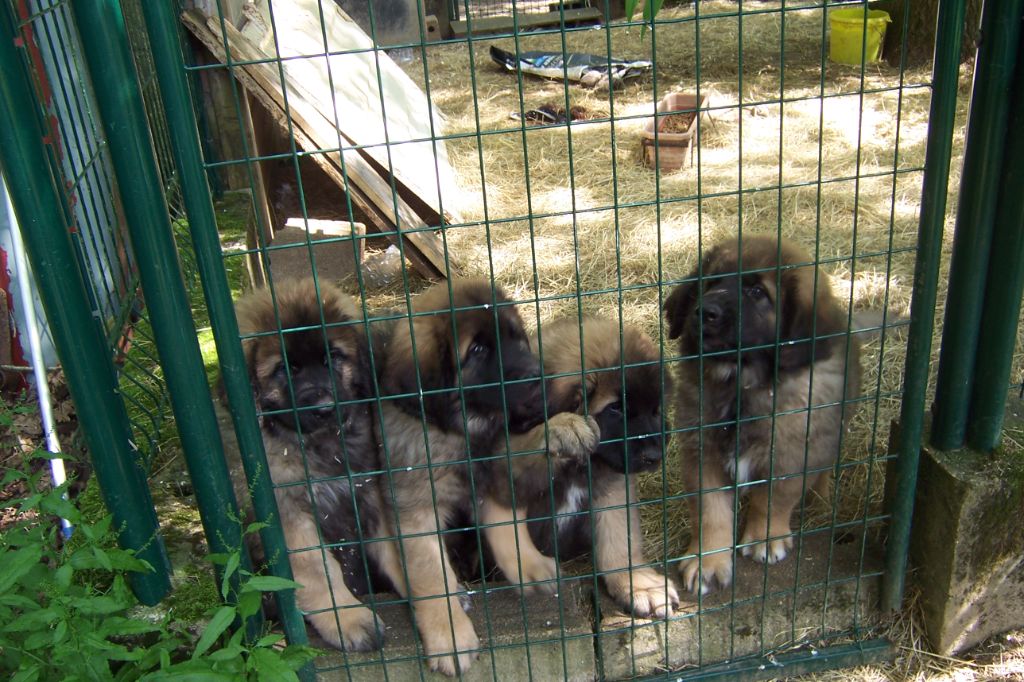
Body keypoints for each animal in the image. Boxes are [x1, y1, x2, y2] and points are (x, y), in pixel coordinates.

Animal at [234, 274, 385, 647]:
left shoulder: (367, 490)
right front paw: (350, 619)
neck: (319, 445)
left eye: (333, 358)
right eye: (286, 369)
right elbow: (319, 571)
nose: (324, 408)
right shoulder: (286, 515)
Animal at [370, 278, 544, 675]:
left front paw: (530, 566)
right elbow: (430, 575)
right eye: (477, 350)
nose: (538, 375)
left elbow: (507, 526)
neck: (459, 431)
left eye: (518, 339)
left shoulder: (489, 475)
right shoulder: (413, 510)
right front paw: (449, 636)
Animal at [481, 315, 679, 618]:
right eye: (615, 408)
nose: (655, 455)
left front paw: (637, 584)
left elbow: (619, 537)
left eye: (656, 409)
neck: (575, 468)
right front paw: (563, 427)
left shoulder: (611, 484)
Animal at [667, 236, 860, 593]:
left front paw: (765, 538)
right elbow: (711, 510)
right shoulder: (703, 454)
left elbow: (773, 498)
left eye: (757, 292)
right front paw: (708, 559)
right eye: (711, 283)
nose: (705, 312)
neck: (741, 386)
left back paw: (821, 498)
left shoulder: (791, 452)